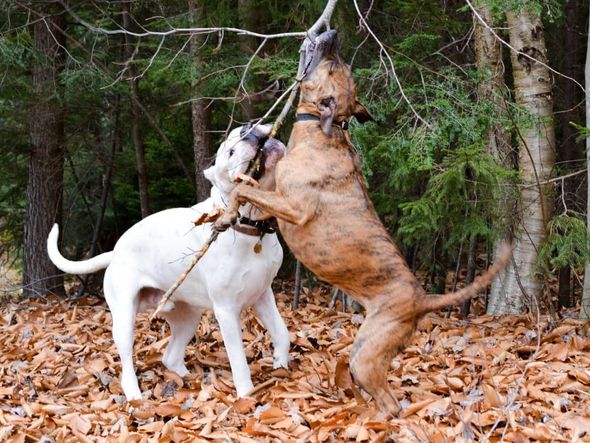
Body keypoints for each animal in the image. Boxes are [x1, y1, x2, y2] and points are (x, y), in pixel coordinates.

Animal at [48, 123, 292, 400]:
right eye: (230, 152)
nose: (248, 130)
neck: (248, 225)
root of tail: (116, 251)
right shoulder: (226, 310)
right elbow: (239, 360)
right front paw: (246, 397)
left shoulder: (263, 295)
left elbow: (282, 334)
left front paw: (280, 366)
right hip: (125, 318)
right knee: (126, 362)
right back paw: (135, 396)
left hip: (188, 317)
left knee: (170, 356)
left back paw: (191, 381)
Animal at [215, 30, 512, 416]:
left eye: (332, 67)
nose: (331, 33)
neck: (322, 131)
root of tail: (422, 299)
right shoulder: (272, 192)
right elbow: (246, 189)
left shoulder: (292, 206)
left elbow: (243, 191)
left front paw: (224, 215)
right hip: (368, 349)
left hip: (368, 352)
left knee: (391, 403)